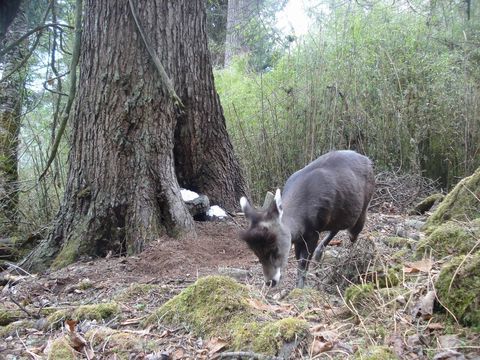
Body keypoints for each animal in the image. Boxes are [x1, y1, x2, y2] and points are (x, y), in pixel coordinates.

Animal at [240, 149, 376, 286]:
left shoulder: (313, 231)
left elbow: (303, 262)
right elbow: (298, 259)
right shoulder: (299, 237)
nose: (270, 282)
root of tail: (368, 160)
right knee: (338, 227)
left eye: (275, 248)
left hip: (363, 208)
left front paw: (301, 286)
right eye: (256, 253)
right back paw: (319, 256)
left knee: (353, 234)